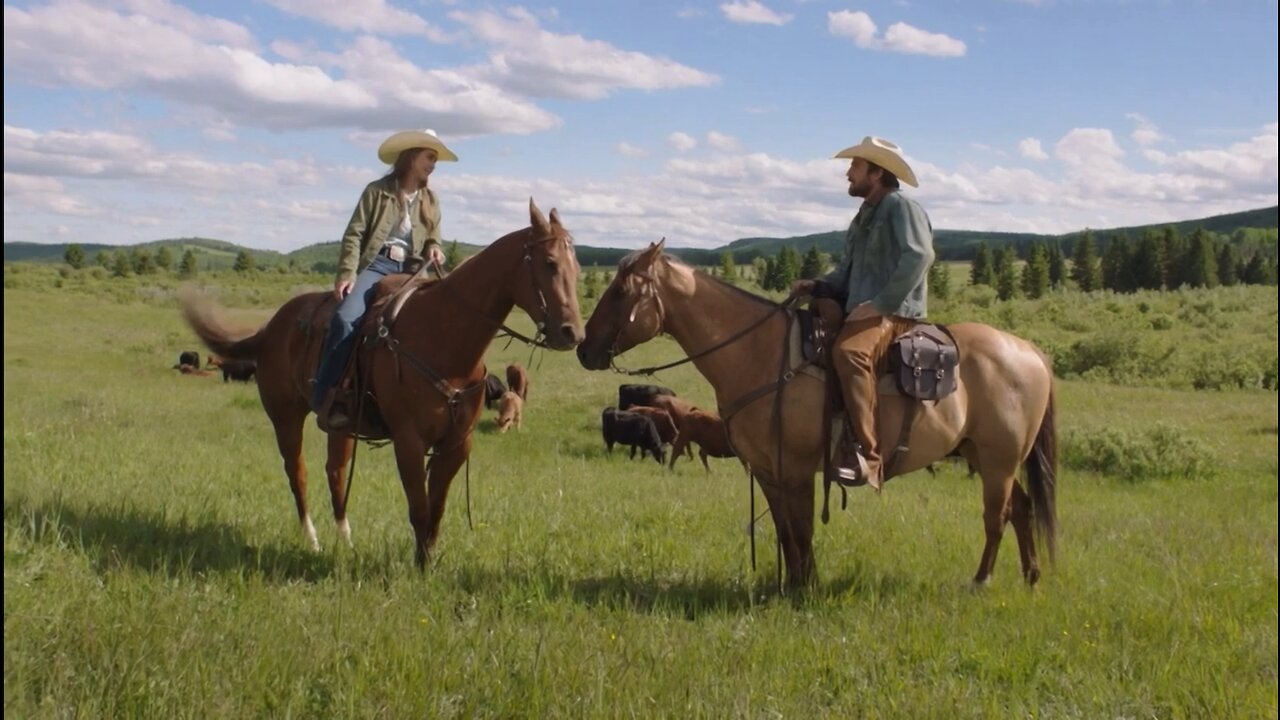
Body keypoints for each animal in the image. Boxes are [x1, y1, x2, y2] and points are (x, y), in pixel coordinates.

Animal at [185, 198, 586, 563]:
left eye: (578, 267)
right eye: (550, 263)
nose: (573, 333)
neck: (445, 339)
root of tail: (269, 328)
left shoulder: (457, 444)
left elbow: (436, 509)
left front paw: (430, 562)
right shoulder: (408, 441)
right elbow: (420, 509)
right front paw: (420, 569)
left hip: (339, 426)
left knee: (335, 471)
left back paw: (345, 540)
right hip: (285, 417)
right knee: (297, 473)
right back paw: (312, 540)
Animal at [581, 240, 1059, 589]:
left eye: (621, 292)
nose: (585, 348)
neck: (761, 355)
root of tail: (1031, 351)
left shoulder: (796, 469)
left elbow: (802, 528)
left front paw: (806, 588)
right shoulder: (768, 470)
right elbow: (784, 530)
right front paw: (792, 584)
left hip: (998, 460)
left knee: (997, 516)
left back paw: (981, 580)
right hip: (981, 454)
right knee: (1021, 508)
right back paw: (1031, 576)